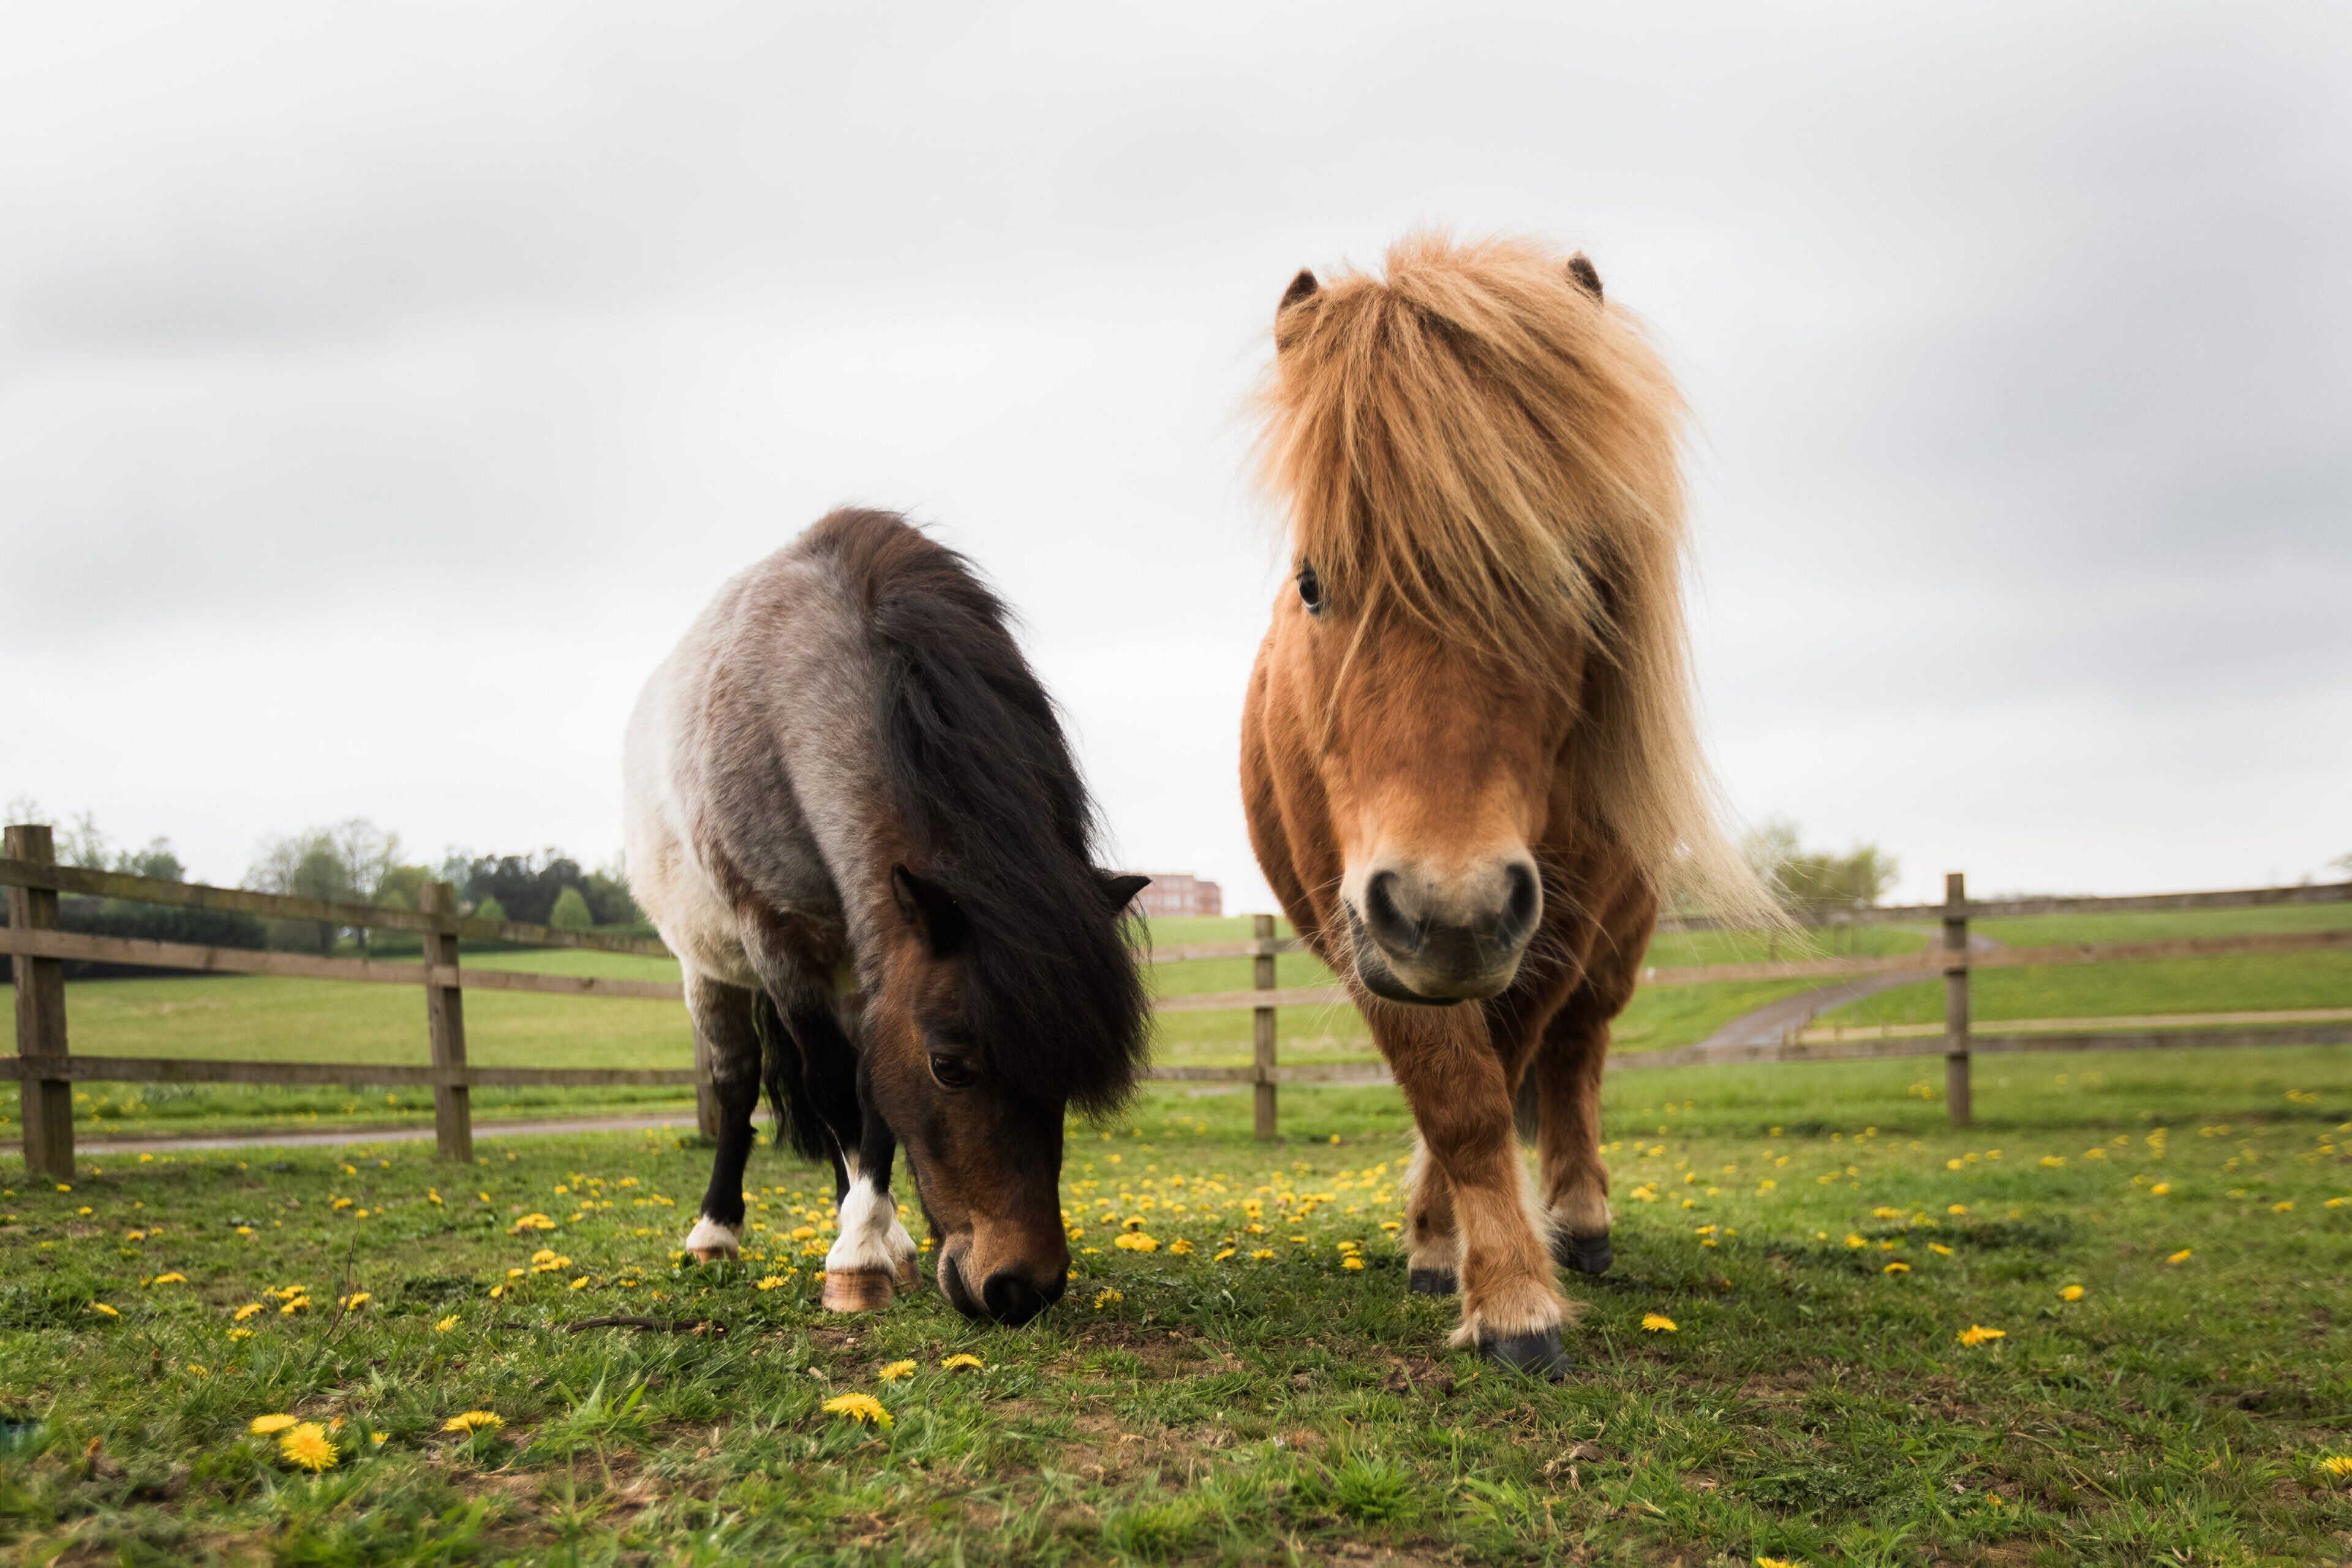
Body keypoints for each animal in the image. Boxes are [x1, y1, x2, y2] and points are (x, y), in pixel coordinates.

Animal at [622, 508, 1151, 1325]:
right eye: (949, 1066)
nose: (1022, 1288)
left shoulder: (878, 965)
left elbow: (869, 1096)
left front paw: (870, 1237)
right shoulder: (781, 945)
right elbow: (834, 1090)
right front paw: (859, 1256)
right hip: (707, 967)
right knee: (740, 1083)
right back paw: (718, 1232)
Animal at [1239, 234, 1774, 1376]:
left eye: (1570, 579)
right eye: (1312, 584)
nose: (1451, 912)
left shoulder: (1548, 926)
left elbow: (1508, 1077)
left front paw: (1509, 1280)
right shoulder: (1365, 927)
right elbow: (1457, 1101)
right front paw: (1485, 1277)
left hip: (1608, 942)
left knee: (1576, 1063)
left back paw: (1579, 1220)